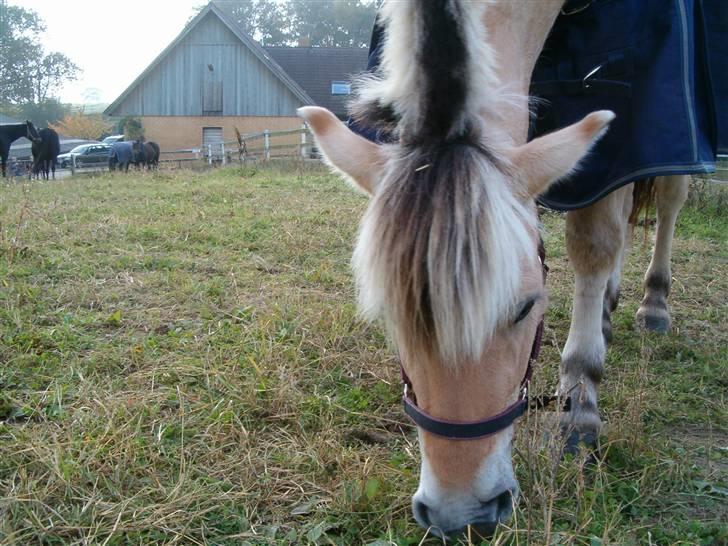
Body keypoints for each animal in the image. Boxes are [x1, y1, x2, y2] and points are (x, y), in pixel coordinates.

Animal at [298, 0, 724, 536]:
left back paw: (654, 303)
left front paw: (580, 406)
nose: (460, 515)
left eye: (525, 309)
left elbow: (595, 240)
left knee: (665, 200)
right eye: (390, 319)